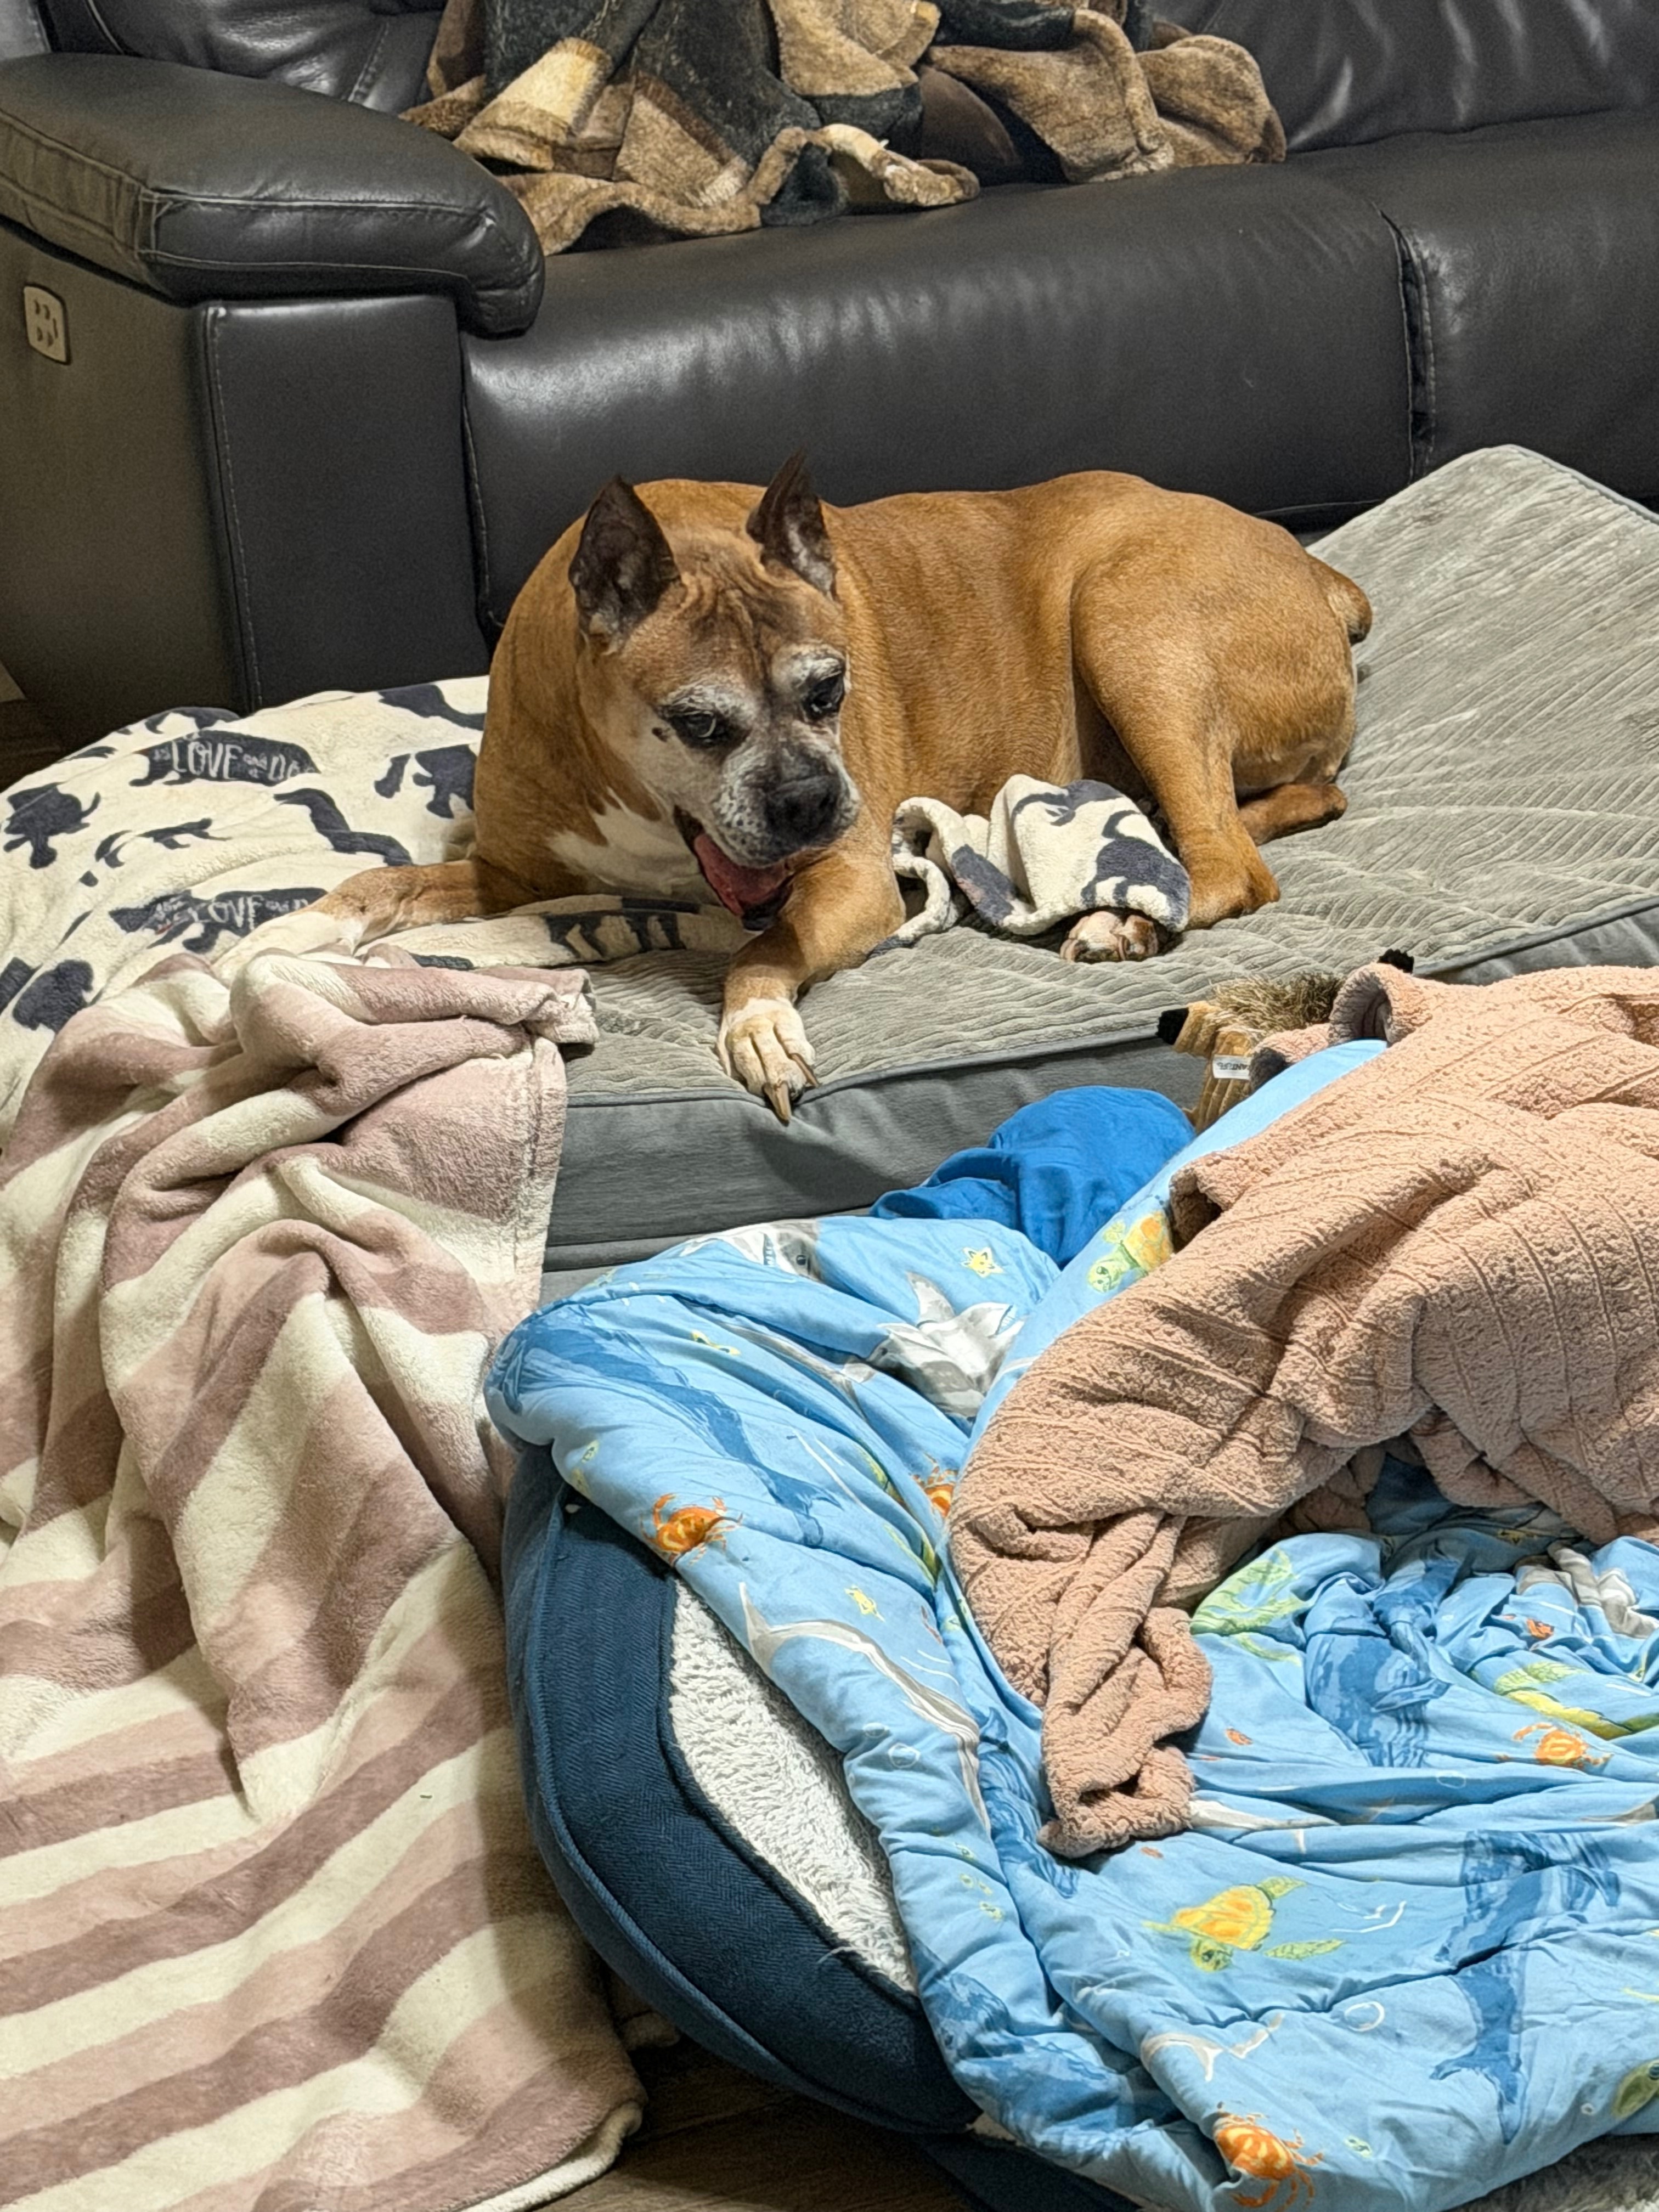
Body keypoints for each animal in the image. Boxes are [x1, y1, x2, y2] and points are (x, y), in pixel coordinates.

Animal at [230, 457, 1371, 1119]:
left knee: (1228, 864)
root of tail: (1314, 568)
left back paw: (1121, 921)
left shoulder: (851, 882)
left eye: (830, 690)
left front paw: (758, 1026)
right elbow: (382, 884)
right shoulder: (515, 872)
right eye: (698, 723)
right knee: (1278, 812)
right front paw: (282, 934)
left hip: (1128, 622)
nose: (812, 803)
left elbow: (761, 948)